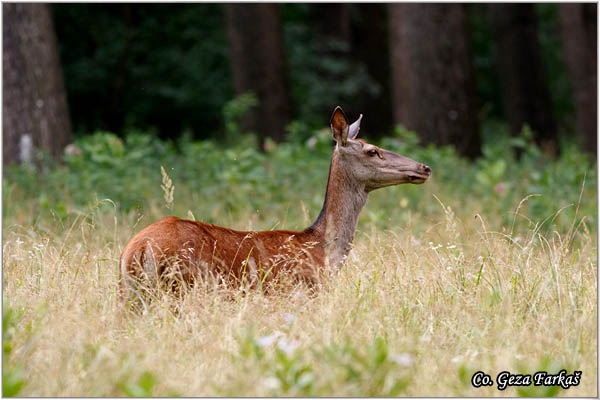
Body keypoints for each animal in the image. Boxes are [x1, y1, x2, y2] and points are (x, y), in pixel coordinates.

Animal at [119, 106, 432, 306]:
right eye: (372, 150)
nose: (424, 167)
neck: (322, 251)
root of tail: (138, 250)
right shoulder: (301, 294)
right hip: (182, 290)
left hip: (130, 299)